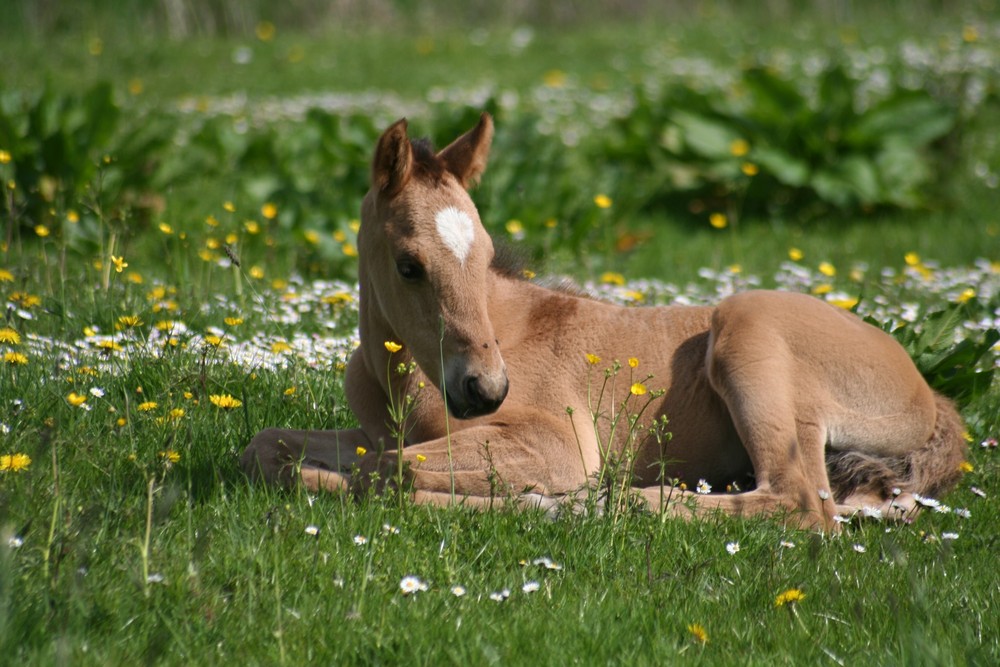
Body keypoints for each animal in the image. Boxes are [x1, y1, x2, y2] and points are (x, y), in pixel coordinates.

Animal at [238, 115, 964, 532]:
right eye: (409, 264)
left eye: (485, 249)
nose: (485, 389)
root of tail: (932, 396)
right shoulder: (370, 430)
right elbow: (273, 448)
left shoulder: (556, 440)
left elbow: (395, 472)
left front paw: (543, 499)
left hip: (748, 331)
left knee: (801, 504)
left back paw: (611, 503)